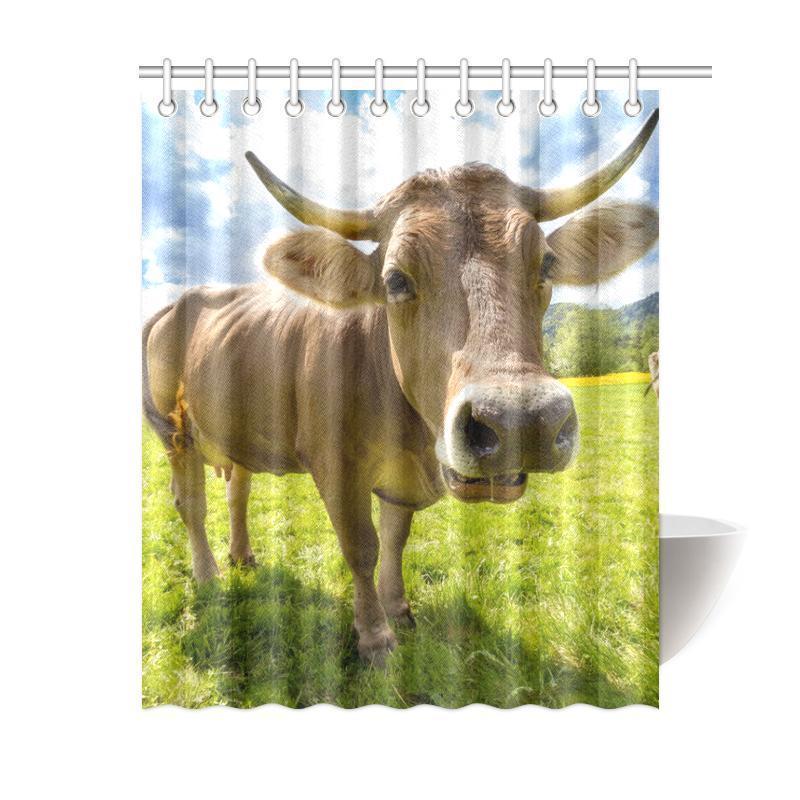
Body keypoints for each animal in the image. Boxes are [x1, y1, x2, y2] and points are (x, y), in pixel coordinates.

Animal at [143, 110, 659, 665]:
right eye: (395, 279)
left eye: (546, 264)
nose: (523, 421)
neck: (409, 432)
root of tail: (181, 300)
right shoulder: (335, 465)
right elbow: (361, 546)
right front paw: (375, 636)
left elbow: (395, 538)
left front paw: (400, 610)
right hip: (175, 433)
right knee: (191, 504)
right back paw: (209, 574)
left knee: (237, 488)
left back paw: (242, 556)